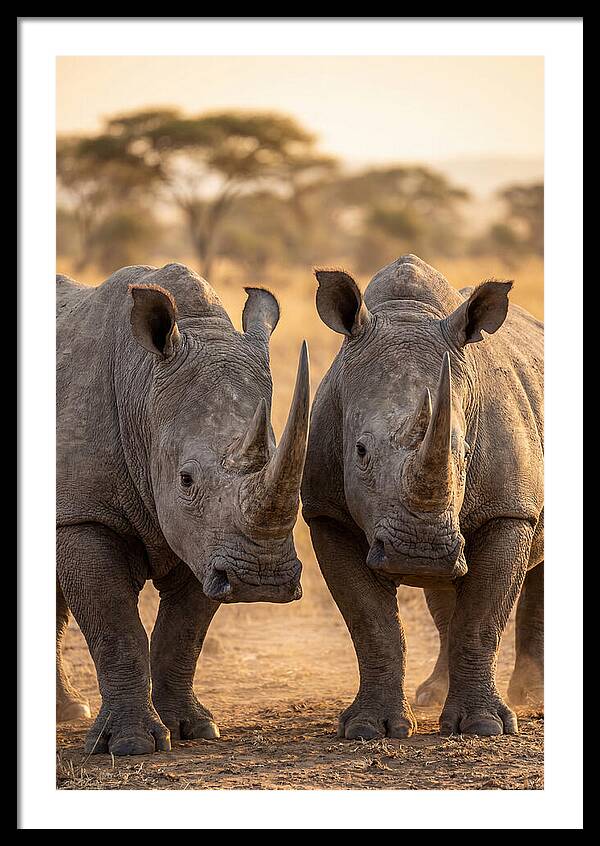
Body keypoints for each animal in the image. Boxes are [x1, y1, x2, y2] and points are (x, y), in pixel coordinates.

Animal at [56, 262, 309, 756]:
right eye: (186, 480)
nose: (262, 580)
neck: (142, 387)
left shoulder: (209, 541)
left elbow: (183, 633)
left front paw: (192, 729)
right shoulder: (83, 513)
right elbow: (115, 626)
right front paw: (130, 745)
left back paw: (68, 711)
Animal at [302, 255, 543, 738]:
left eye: (464, 451)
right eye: (360, 451)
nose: (420, 553)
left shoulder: (510, 511)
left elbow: (482, 619)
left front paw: (485, 727)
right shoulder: (326, 513)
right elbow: (372, 625)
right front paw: (369, 728)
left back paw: (532, 696)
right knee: (445, 593)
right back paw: (432, 694)